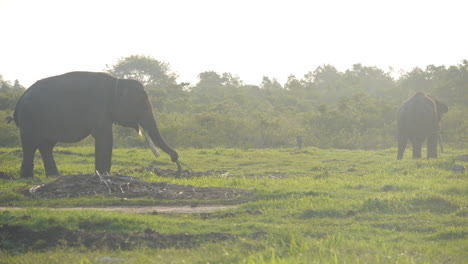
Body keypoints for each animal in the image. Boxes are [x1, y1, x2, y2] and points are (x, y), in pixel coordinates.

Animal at [12, 70, 178, 177]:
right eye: (142, 102)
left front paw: (102, 174)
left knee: (46, 145)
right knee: (30, 144)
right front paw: (104, 174)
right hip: (30, 118)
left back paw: (53, 176)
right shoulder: (98, 107)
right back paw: (28, 177)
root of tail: (20, 99)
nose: (175, 158)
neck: (118, 81)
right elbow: (105, 137)